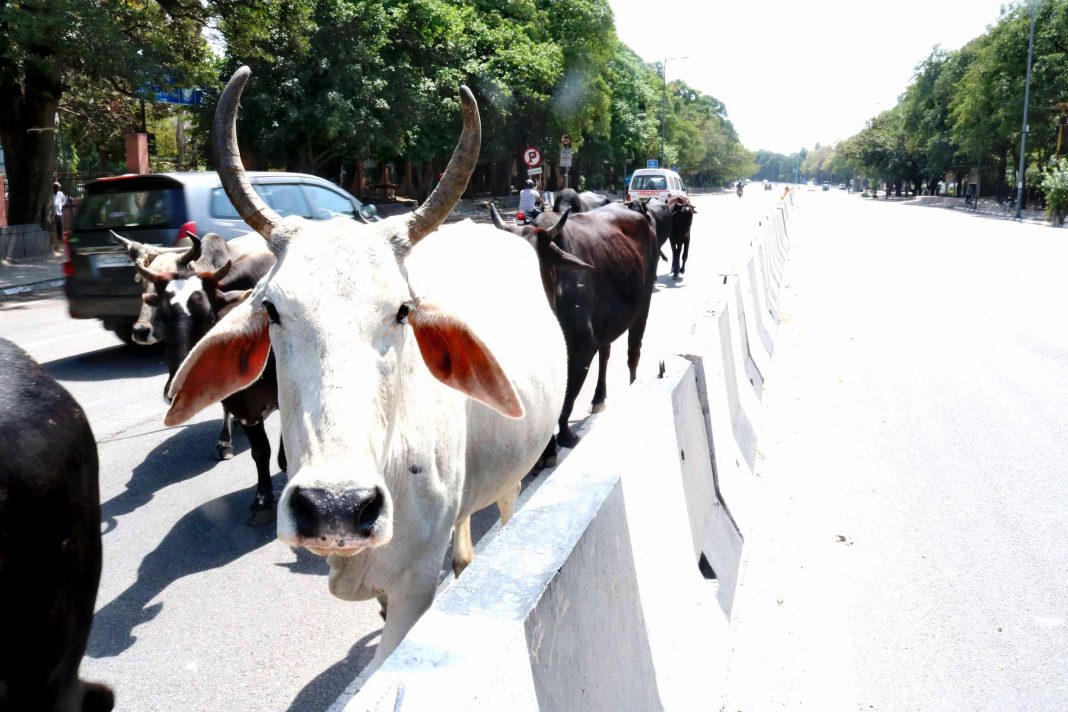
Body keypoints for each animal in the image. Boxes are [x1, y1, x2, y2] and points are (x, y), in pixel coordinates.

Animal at [130, 234, 284, 529]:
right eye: (161, 318)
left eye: (207, 317)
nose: (175, 389)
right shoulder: (243, 405)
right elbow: (260, 451)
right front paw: (262, 502)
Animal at [491, 200, 657, 448]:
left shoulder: (582, 348)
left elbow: (567, 397)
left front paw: (565, 437)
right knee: (605, 352)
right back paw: (599, 398)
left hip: (643, 307)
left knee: (633, 352)